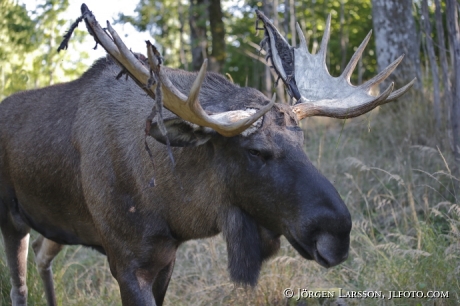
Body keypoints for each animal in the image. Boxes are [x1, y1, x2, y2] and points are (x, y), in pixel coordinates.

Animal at [0, 4, 416, 306]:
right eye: (256, 151)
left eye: (303, 142)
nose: (338, 233)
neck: (176, 211)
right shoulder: (127, 261)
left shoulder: (165, 258)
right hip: (12, 218)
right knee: (19, 286)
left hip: (58, 224)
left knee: (42, 256)